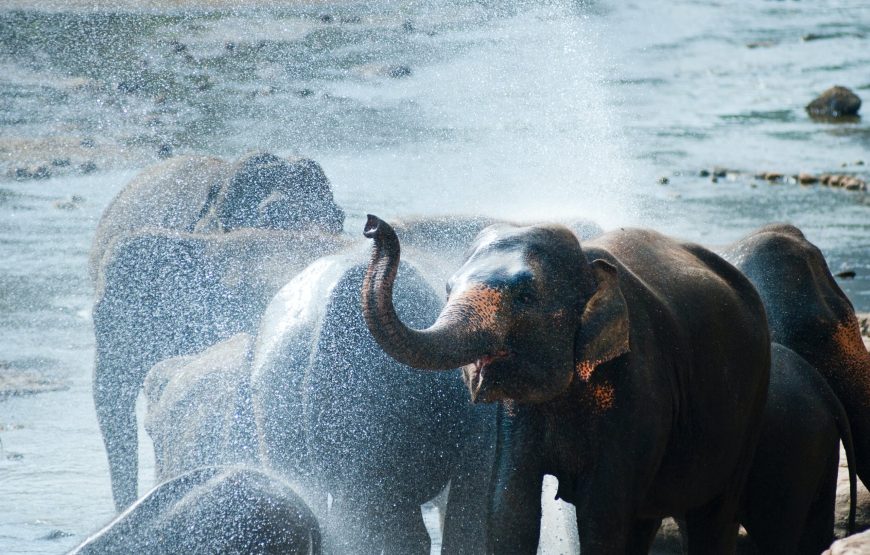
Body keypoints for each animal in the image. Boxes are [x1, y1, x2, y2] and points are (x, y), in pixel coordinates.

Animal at [362, 216, 768, 555]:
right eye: (447, 289)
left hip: (753, 405)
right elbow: (510, 507)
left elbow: (601, 517)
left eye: (525, 297)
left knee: (713, 518)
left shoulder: (637, 388)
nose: (372, 224)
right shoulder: (517, 416)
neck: (588, 262)